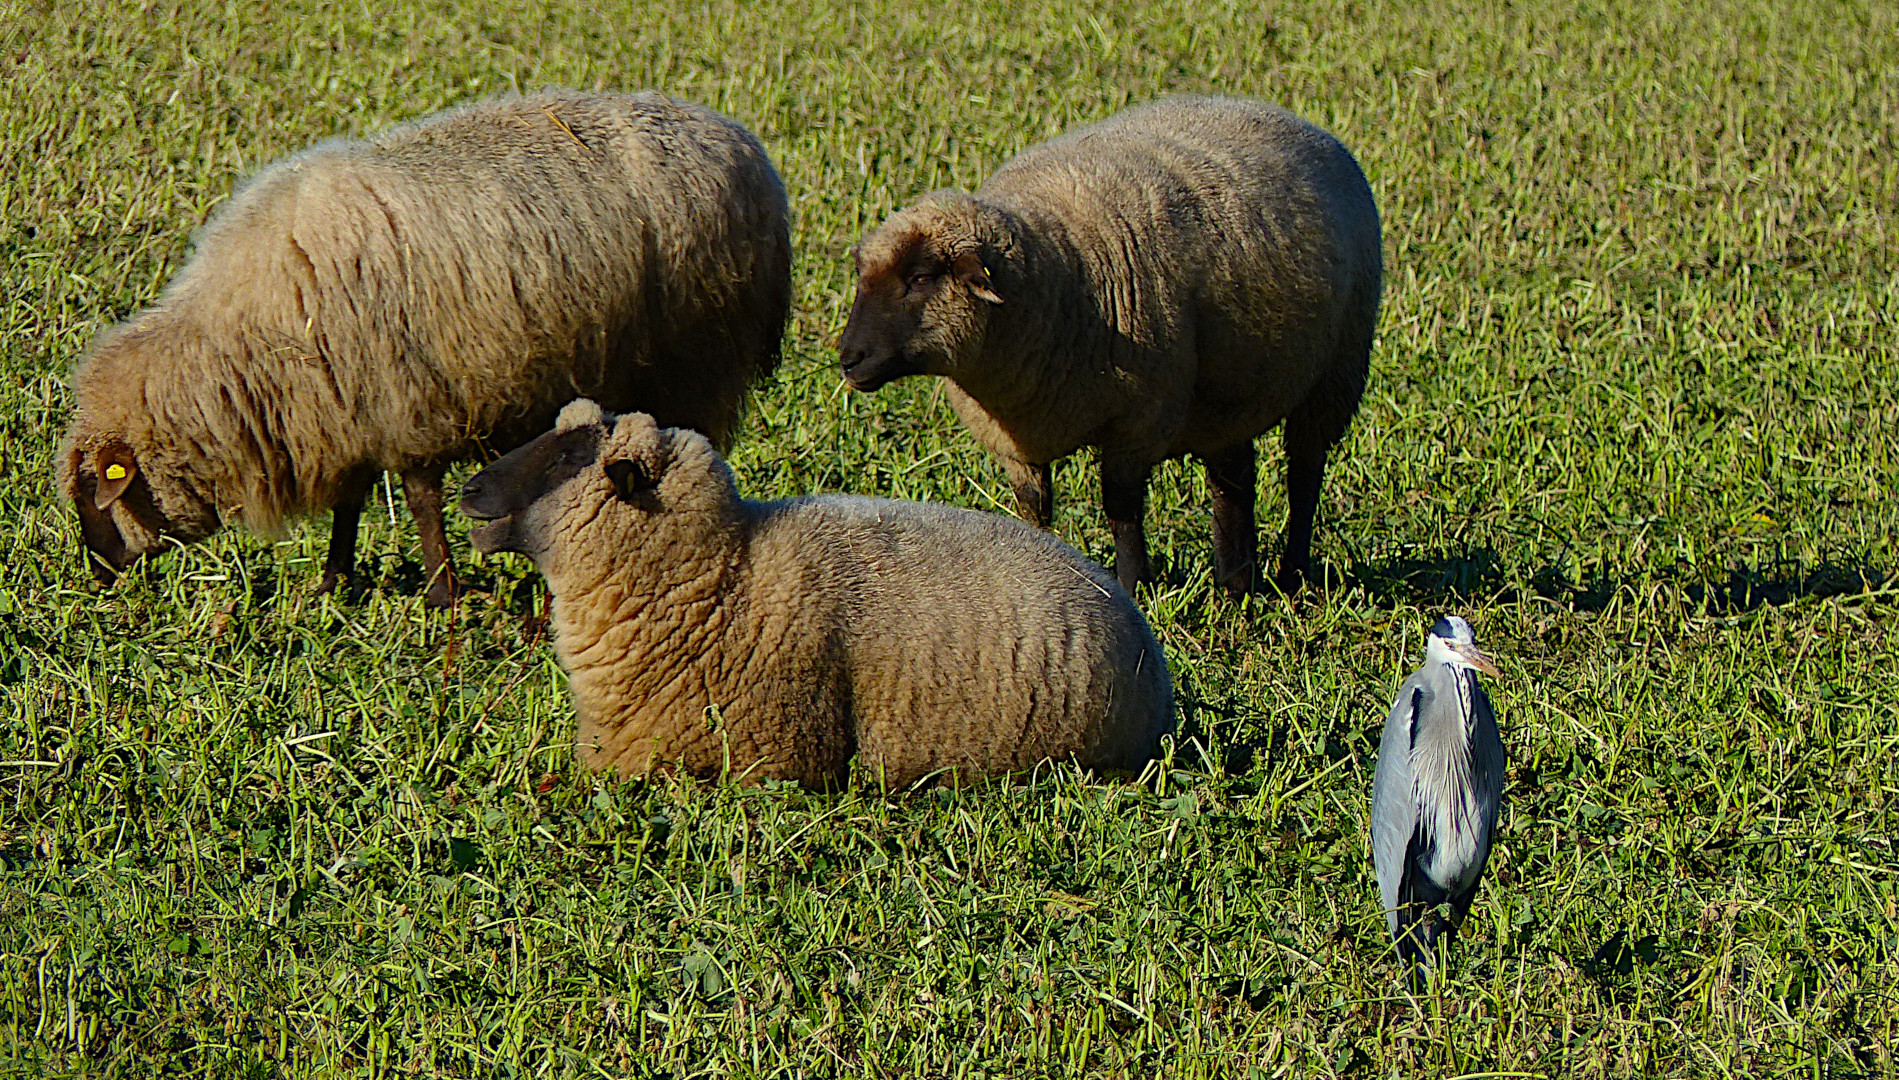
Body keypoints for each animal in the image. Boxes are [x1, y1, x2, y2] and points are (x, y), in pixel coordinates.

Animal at [57, 86, 786, 607]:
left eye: (97, 494)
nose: (96, 579)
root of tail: (743, 143)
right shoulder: (348, 412)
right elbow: (350, 503)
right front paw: (334, 585)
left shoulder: (411, 407)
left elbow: (418, 501)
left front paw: (441, 597)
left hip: (697, 362)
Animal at [835, 93, 1382, 592]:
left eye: (921, 278)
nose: (849, 359)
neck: (1059, 268)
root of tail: (1293, 118)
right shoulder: (1016, 443)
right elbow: (1034, 510)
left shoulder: (1137, 424)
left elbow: (1121, 511)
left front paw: (1134, 585)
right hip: (1228, 390)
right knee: (1233, 481)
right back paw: (1236, 585)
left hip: (1336, 373)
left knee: (1303, 474)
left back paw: (1292, 574)